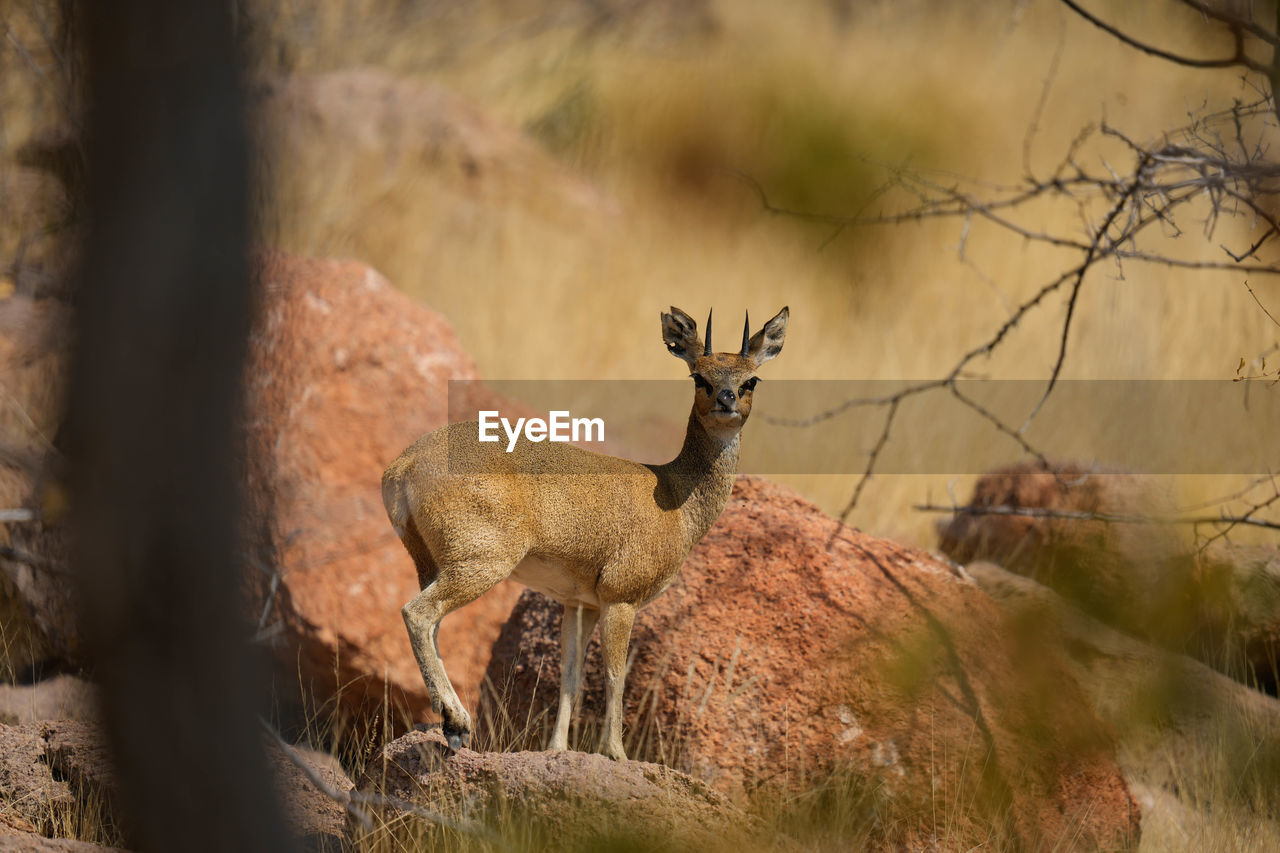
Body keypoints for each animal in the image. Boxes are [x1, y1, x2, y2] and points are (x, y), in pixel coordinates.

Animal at [378, 302, 783, 753]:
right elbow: (614, 675)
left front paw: (557, 749)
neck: (674, 499)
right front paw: (617, 753)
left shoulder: (580, 603)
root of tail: (404, 465)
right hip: (480, 564)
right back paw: (456, 721)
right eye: (700, 376)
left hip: (432, 564)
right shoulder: (620, 598)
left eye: (751, 379)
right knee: (417, 613)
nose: (727, 401)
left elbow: (570, 677)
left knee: (431, 623)